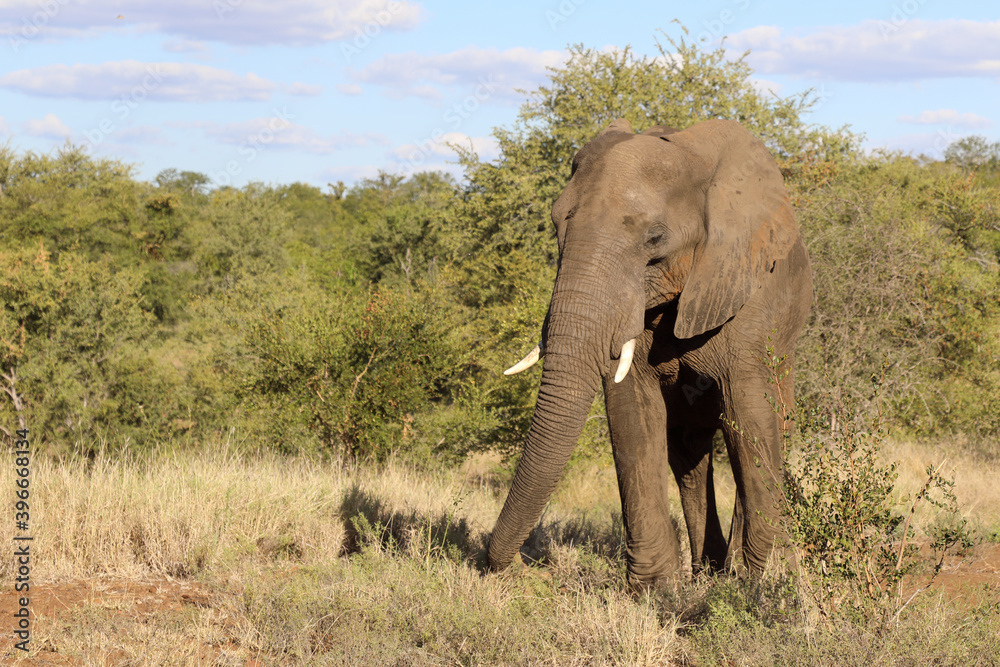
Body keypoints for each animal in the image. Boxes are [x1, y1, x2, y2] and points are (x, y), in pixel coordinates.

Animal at [490, 116, 812, 588]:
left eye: (655, 239)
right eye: (556, 227)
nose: (507, 565)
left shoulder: (748, 287)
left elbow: (750, 416)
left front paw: (767, 582)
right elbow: (632, 410)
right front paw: (656, 589)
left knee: (762, 429)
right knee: (689, 456)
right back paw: (706, 572)